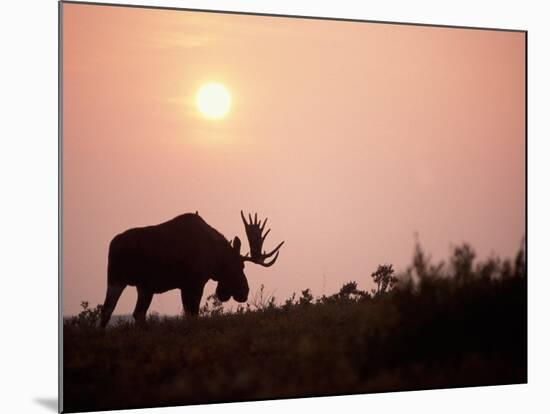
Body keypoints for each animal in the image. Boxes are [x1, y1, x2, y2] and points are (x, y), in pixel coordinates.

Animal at [99, 212, 286, 328]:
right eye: (240, 266)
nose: (244, 291)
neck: (215, 256)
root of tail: (111, 244)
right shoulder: (194, 283)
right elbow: (193, 313)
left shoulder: (185, 286)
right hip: (116, 278)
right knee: (107, 309)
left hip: (144, 287)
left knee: (138, 314)